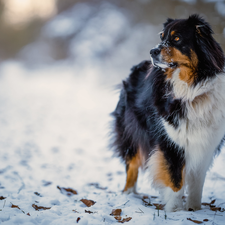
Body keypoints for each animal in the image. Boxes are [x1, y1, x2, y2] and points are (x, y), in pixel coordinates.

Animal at [111, 14, 225, 211]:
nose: (152, 51)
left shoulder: (206, 144)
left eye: (177, 38)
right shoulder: (170, 141)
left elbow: (197, 182)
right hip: (131, 131)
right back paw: (128, 195)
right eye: (161, 36)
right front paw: (175, 211)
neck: (191, 90)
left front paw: (194, 209)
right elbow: (175, 180)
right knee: (131, 164)